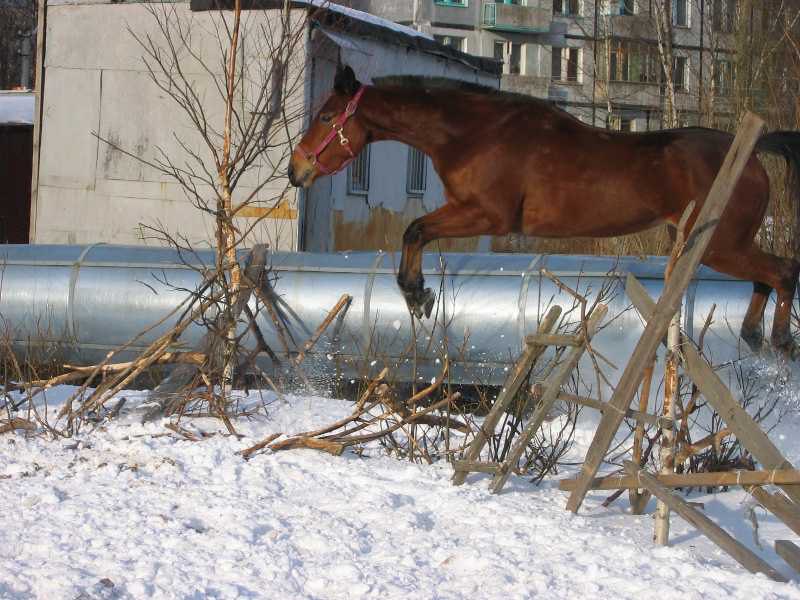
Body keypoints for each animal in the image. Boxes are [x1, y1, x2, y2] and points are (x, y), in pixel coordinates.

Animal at [290, 65, 800, 356]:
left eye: (324, 116)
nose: (297, 171)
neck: (474, 133)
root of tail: (754, 155)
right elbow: (415, 231)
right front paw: (418, 293)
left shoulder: (488, 215)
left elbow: (414, 230)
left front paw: (417, 295)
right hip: (720, 243)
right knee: (767, 277)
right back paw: (754, 335)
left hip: (718, 244)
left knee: (783, 271)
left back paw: (778, 340)